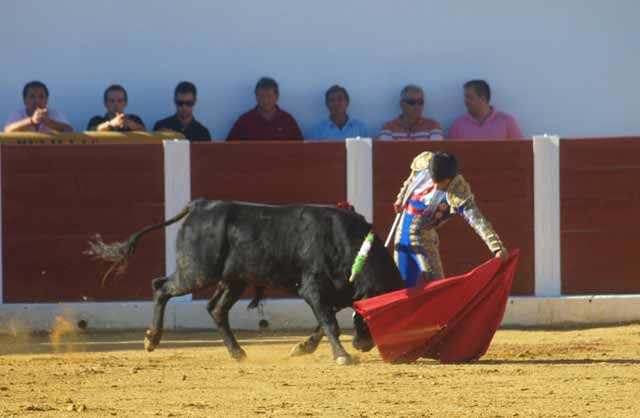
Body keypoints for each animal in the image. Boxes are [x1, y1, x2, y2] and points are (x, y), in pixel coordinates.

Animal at [87, 199, 402, 362]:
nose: (364, 345)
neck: (352, 248)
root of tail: (200, 205)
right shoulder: (312, 289)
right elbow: (329, 323)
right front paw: (342, 356)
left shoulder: (335, 294)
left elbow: (323, 325)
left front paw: (303, 347)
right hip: (197, 272)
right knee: (160, 287)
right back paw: (152, 339)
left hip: (234, 280)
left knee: (216, 310)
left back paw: (237, 352)